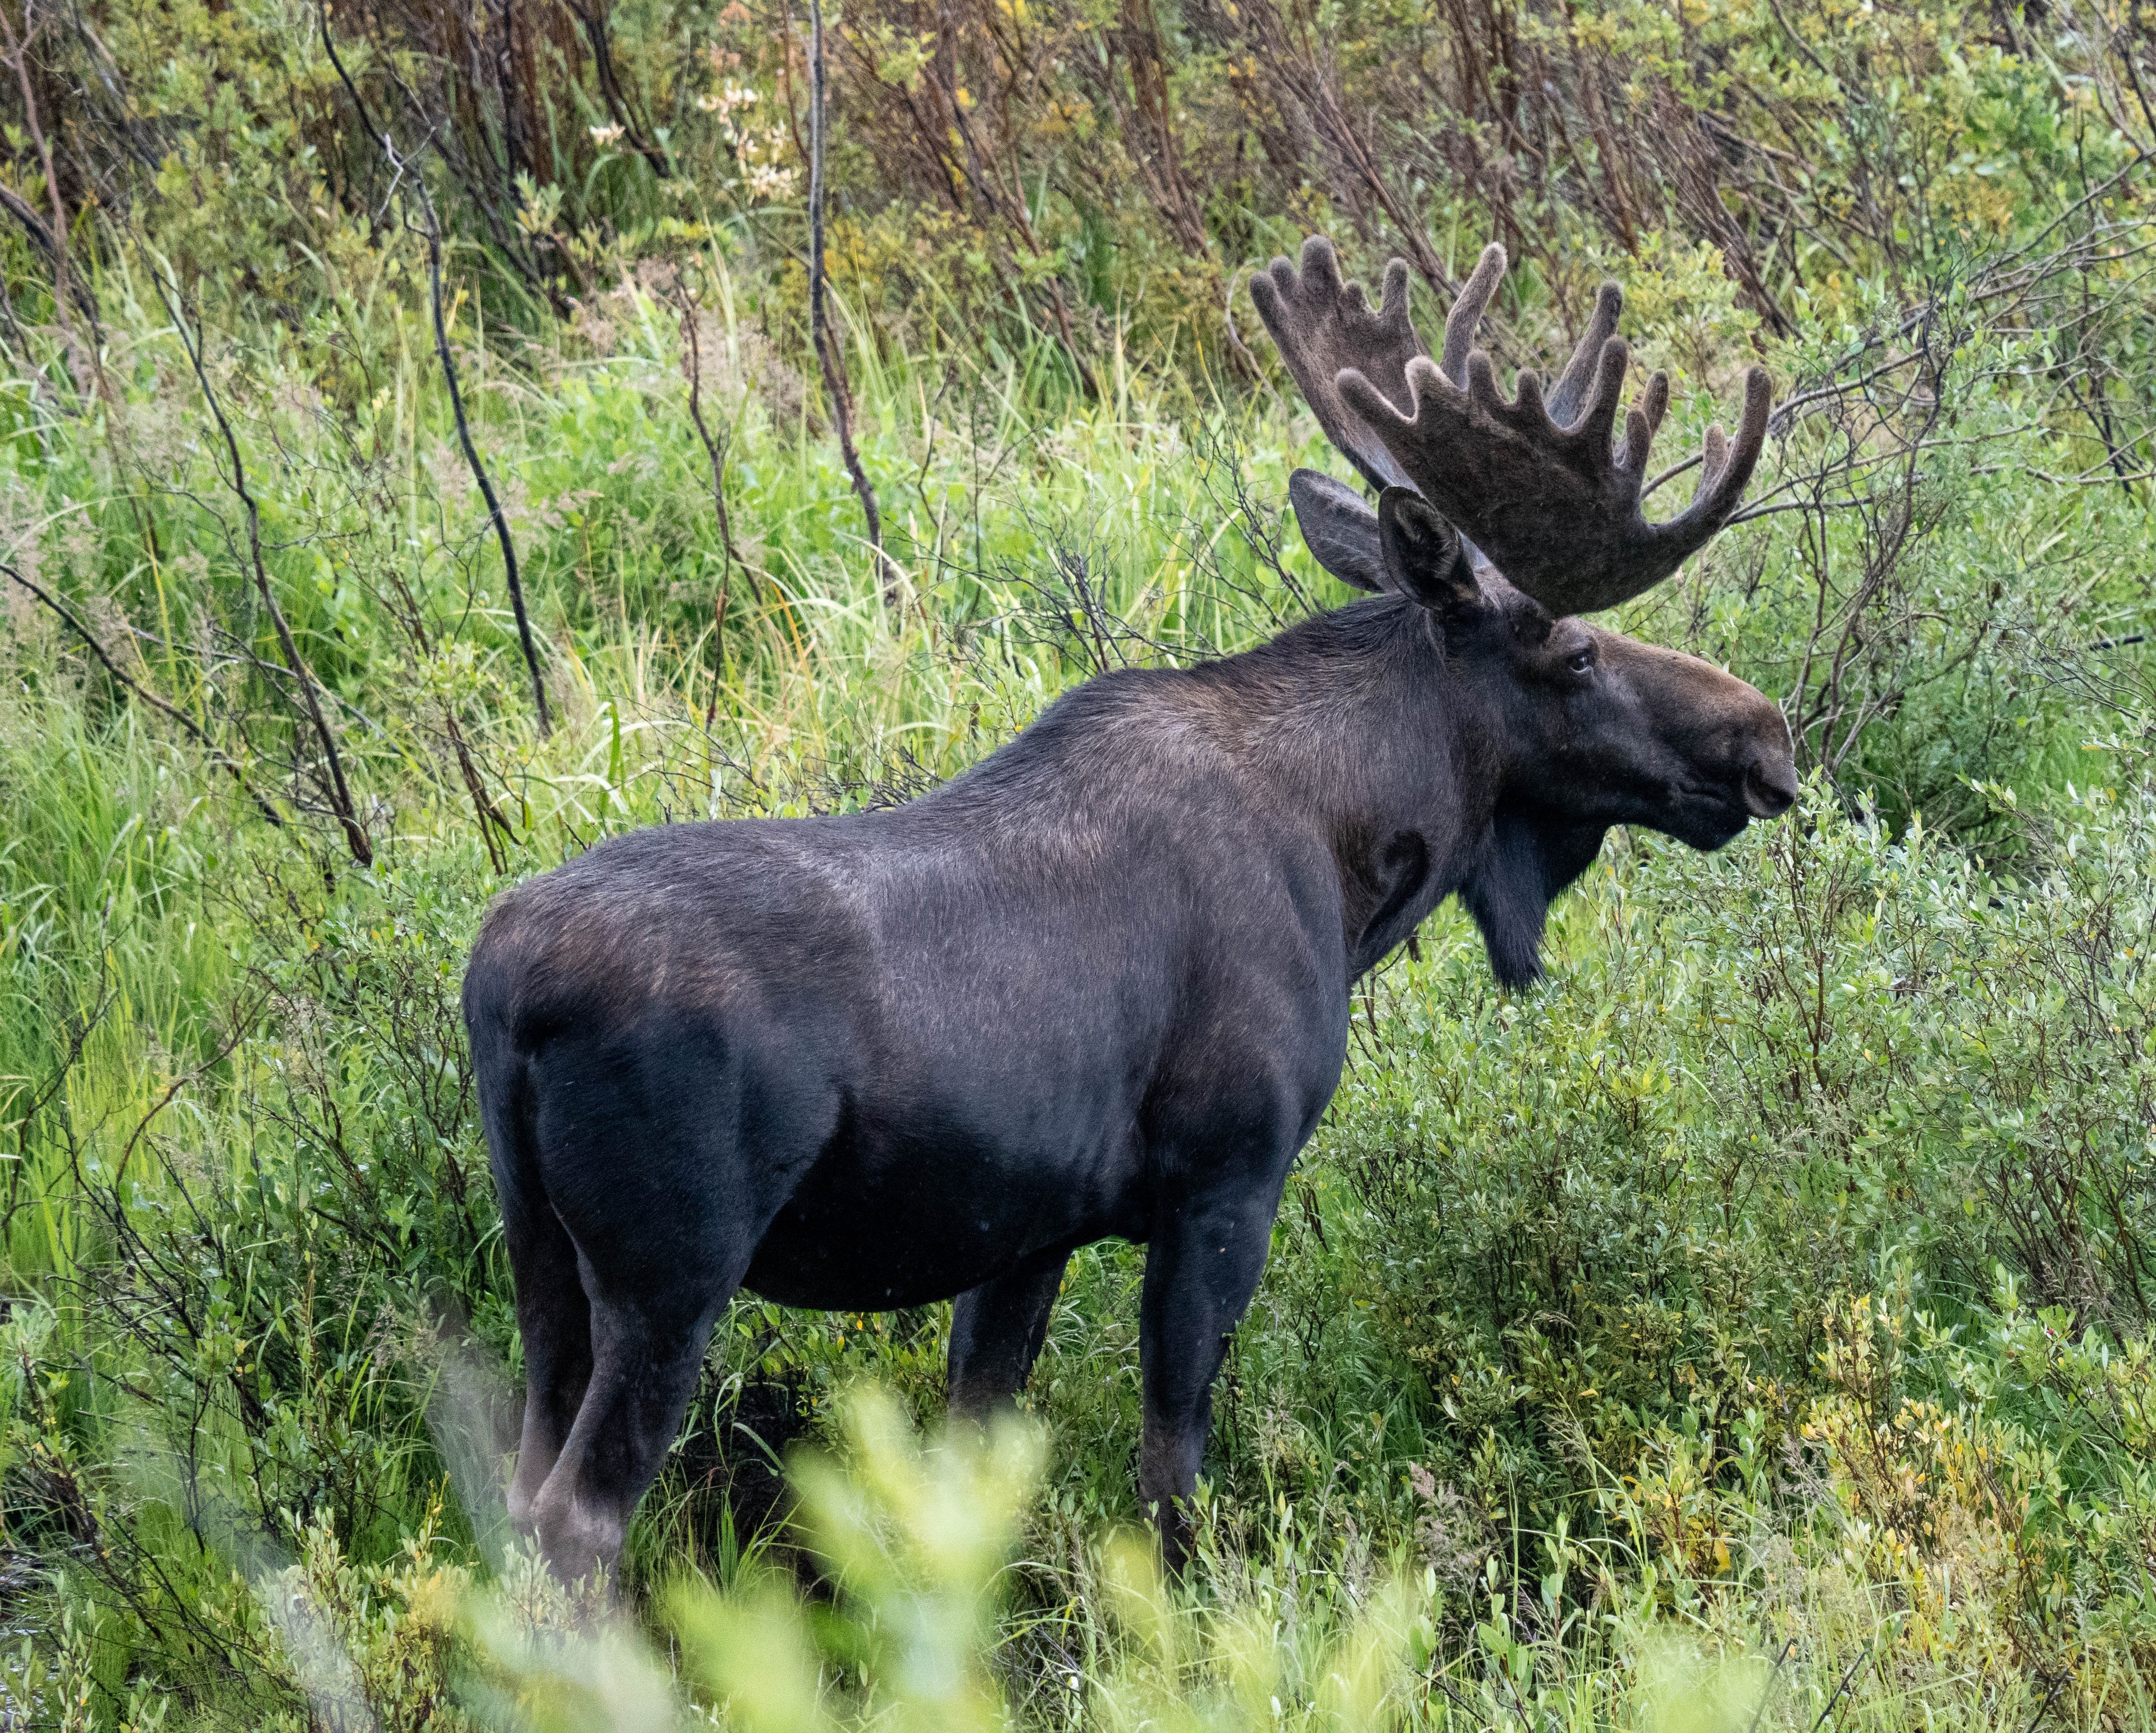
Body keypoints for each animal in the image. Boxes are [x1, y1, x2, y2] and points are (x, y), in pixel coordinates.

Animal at [462, 235, 1796, 1581]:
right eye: (1574, 652)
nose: (1765, 738)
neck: (1357, 871)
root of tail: (503, 991)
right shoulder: (1226, 1176)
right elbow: (1172, 1464)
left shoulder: (1025, 1230)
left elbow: (977, 1452)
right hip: (672, 1267)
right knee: (577, 1517)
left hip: (539, 1253)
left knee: (515, 1486)